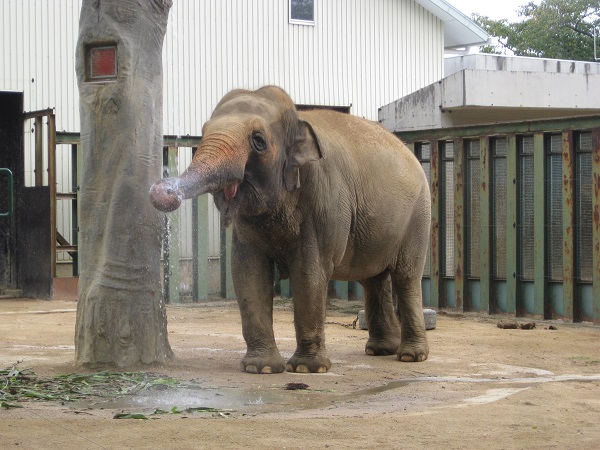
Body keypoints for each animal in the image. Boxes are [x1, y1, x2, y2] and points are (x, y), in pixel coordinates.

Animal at [150, 86, 432, 374]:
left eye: (259, 140)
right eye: (204, 131)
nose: (164, 190)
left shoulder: (323, 199)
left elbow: (309, 271)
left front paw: (307, 368)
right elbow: (247, 271)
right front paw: (260, 368)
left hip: (419, 214)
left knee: (406, 277)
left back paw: (410, 356)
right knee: (374, 278)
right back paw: (380, 350)